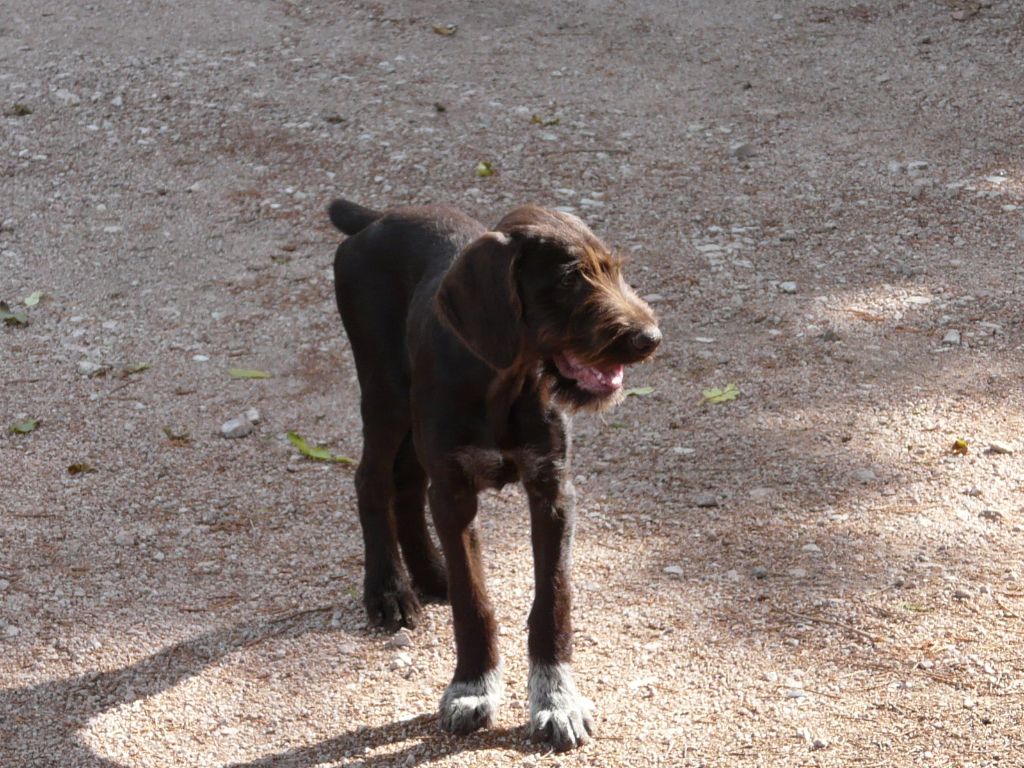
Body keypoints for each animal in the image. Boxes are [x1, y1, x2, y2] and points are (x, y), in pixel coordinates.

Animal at [329, 198, 661, 751]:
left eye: (613, 270)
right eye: (568, 279)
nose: (649, 339)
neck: (503, 380)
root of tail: (377, 217)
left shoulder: (552, 489)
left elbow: (553, 600)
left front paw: (557, 700)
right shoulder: (456, 493)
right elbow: (474, 602)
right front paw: (472, 688)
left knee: (406, 483)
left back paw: (430, 573)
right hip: (384, 392)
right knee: (371, 480)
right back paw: (389, 589)